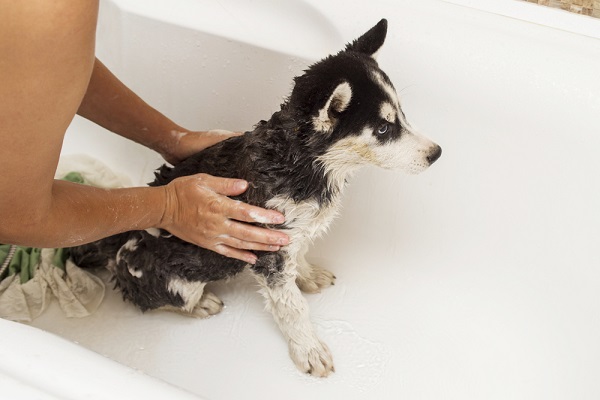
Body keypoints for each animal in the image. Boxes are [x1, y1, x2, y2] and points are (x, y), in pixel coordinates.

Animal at [70, 18, 440, 376]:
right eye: (383, 129)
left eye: (401, 116)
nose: (436, 153)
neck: (307, 164)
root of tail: (118, 242)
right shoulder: (268, 248)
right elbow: (291, 306)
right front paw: (308, 349)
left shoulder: (294, 231)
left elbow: (299, 254)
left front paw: (307, 275)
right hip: (170, 277)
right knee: (153, 298)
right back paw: (199, 303)